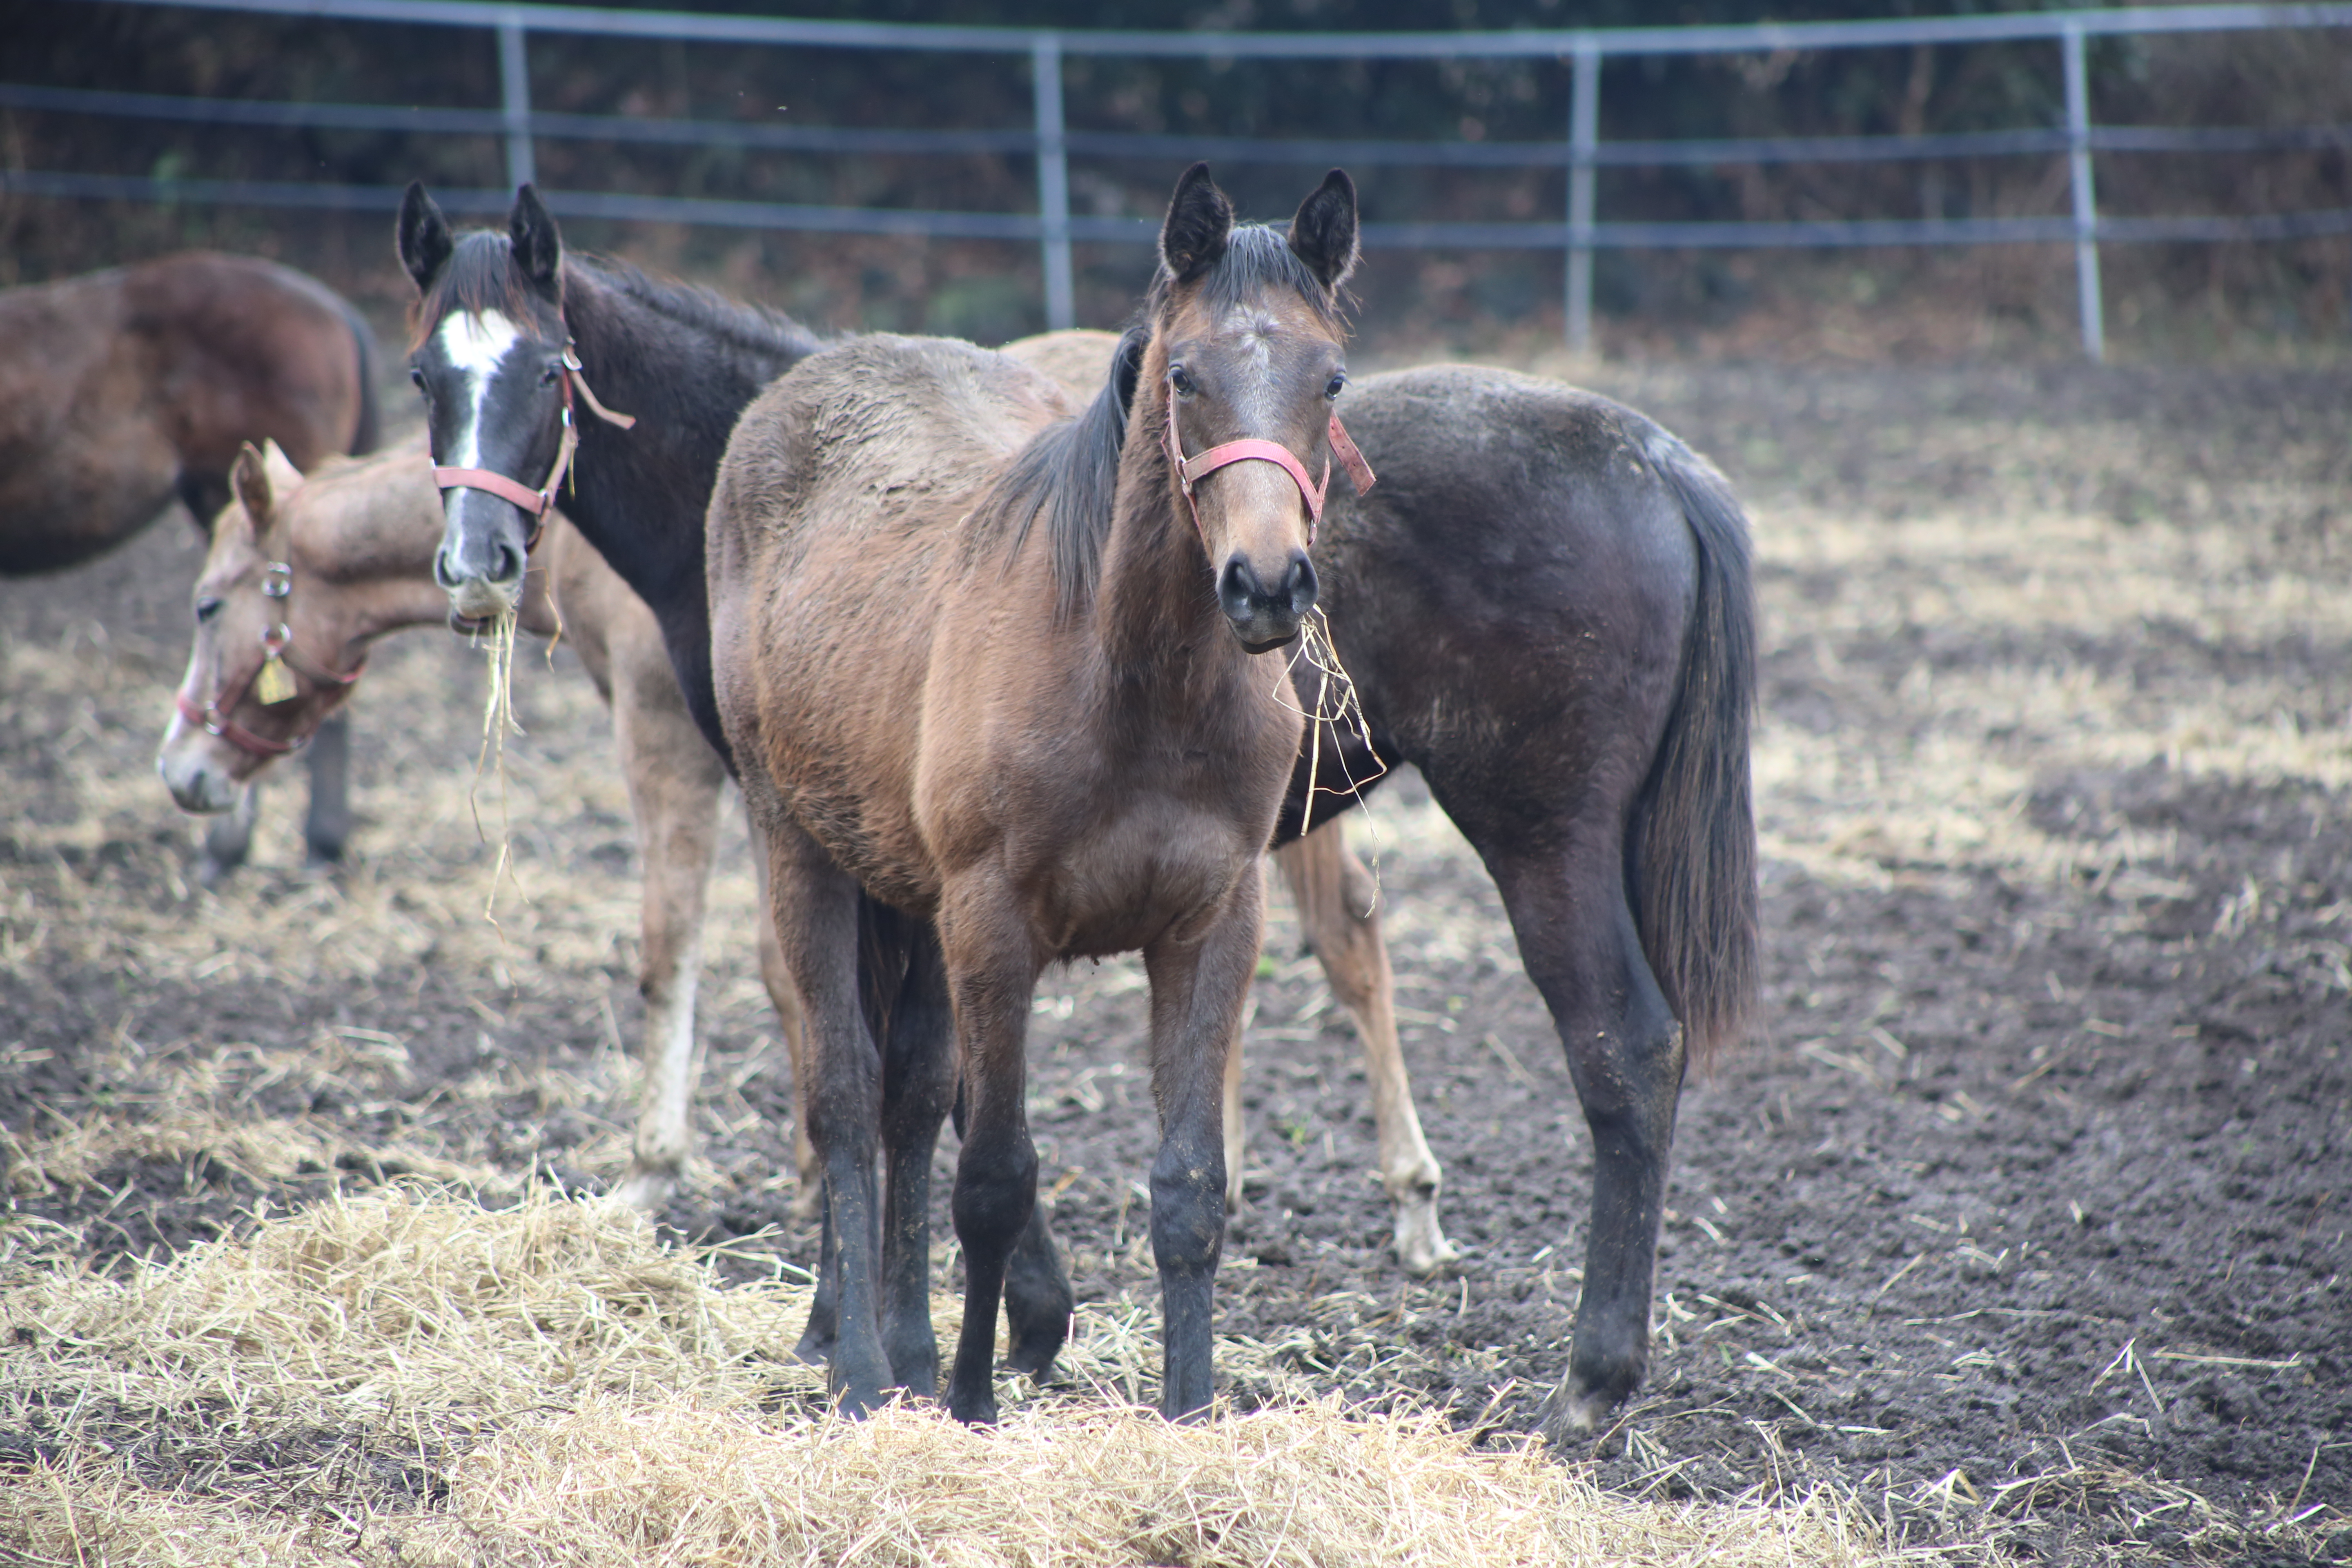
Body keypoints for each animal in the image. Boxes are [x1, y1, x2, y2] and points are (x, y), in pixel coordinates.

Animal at [158, 435, 818, 1222]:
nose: (178, 768)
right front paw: (814, 1174)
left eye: (207, 606)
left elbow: (671, 953)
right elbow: (783, 968)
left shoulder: (665, 732)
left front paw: (653, 1167)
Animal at [404, 181, 1759, 1439]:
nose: (476, 566)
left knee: (1621, 1048)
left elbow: (918, 1094)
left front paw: (947, 1327)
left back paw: (1586, 1374)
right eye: (427, 374)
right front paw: (921, 1334)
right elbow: (924, 1091)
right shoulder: (919, 874)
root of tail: (1658, 455)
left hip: (1541, 832)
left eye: (548, 371)